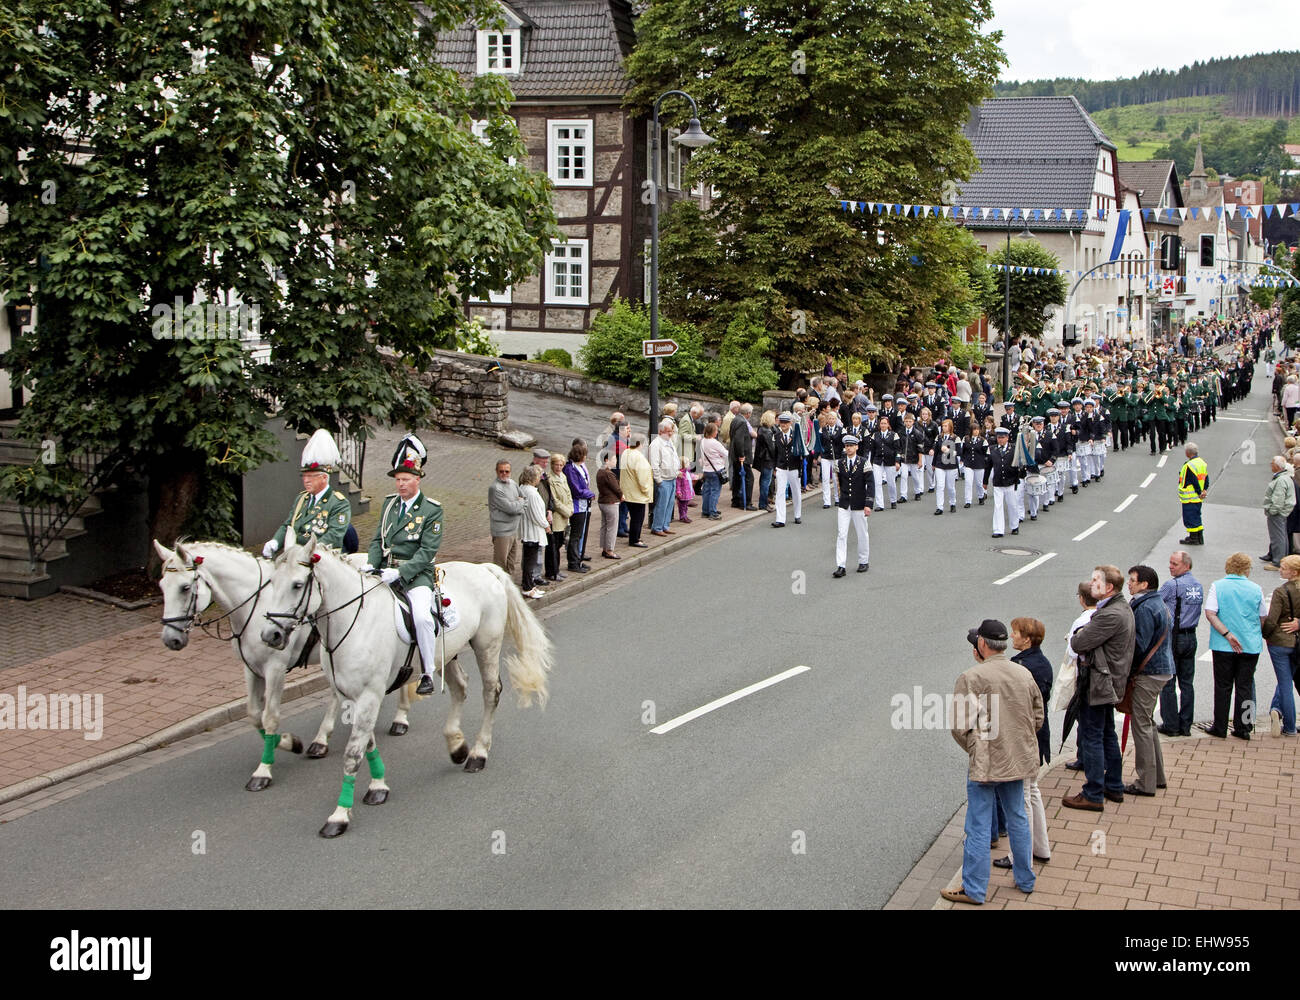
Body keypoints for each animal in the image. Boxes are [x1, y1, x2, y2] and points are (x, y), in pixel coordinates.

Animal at [152, 540, 416, 790]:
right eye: (162, 586)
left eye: (185, 587)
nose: (170, 639)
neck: (253, 605)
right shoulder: (250, 668)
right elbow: (254, 714)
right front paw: (289, 742)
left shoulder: (275, 668)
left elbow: (270, 716)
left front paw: (264, 770)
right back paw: (321, 740)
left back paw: (399, 719)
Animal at [258, 535, 553, 837]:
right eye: (271, 582)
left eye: (297, 584)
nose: (271, 635)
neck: (354, 620)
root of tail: (484, 569)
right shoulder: (355, 697)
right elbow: (367, 744)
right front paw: (378, 786)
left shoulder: (369, 695)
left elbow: (353, 754)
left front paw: (339, 816)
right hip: (447, 653)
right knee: (460, 688)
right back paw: (457, 746)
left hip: (486, 646)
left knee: (490, 694)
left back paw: (478, 754)